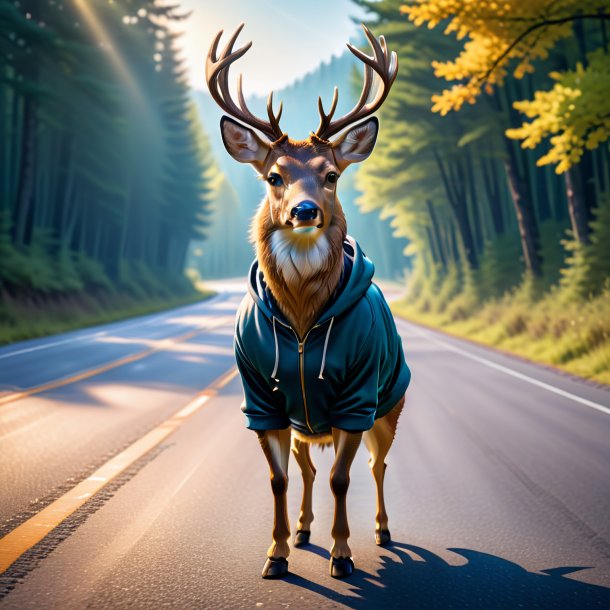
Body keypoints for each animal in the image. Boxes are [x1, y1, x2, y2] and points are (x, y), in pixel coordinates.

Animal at [207, 22, 410, 576]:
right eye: (274, 175)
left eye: (331, 174)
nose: (304, 210)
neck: (301, 321)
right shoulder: (263, 397)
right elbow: (278, 478)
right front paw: (275, 554)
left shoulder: (357, 395)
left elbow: (344, 477)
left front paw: (342, 556)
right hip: (303, 421)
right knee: (307, 470)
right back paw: (301, 530)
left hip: (391, 401)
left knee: (378, 463)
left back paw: (383, 530)